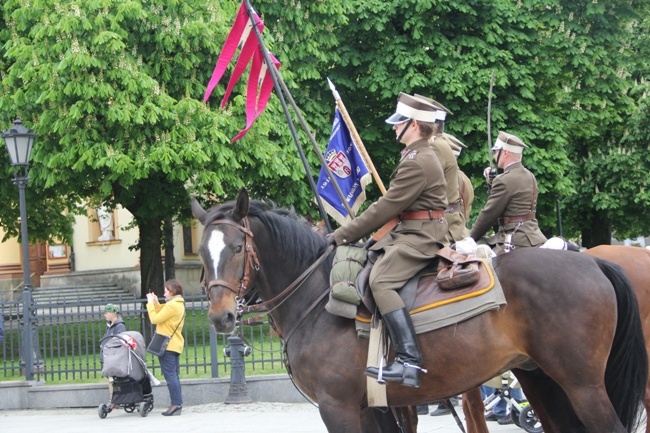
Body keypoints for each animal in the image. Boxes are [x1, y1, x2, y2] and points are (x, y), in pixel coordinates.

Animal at [190, 192, 644, 432]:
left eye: (236, 248)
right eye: (200, 250)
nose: (220, 317)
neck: (316, 297)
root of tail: (592, 261)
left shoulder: (338, 407)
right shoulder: (372, 408)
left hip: (583, 385)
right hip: (543, 381)